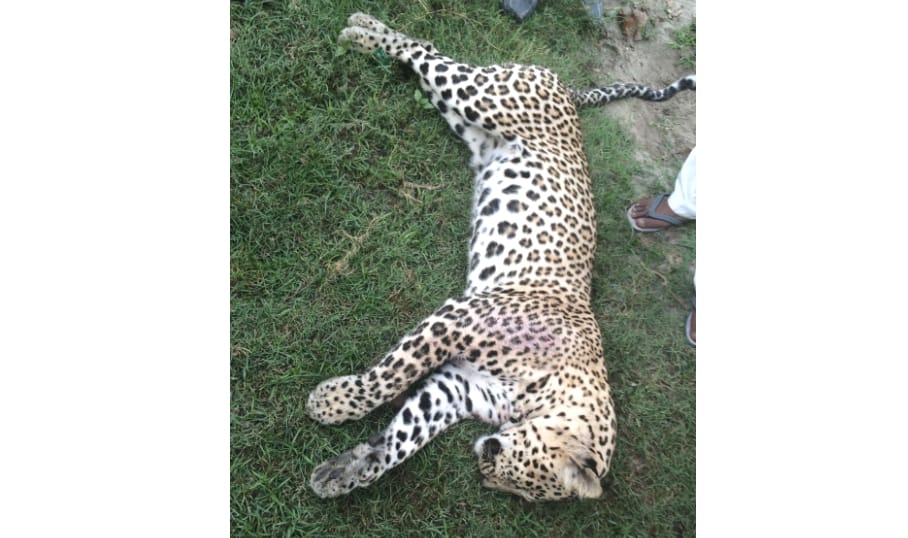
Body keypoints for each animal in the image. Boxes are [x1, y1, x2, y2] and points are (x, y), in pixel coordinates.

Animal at [306, 12, 695, 501]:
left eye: (523, 492)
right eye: (529, 478)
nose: (483, 467)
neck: (547, 389)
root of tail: (568, 90)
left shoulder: (454, 388)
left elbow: (402, 437)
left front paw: (344, 472)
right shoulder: (455, 320)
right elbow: (388, 378)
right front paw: (334, 401)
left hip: (466, 120)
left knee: (426, 58)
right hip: (483, 97)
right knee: (426, 52)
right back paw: (362, 30)